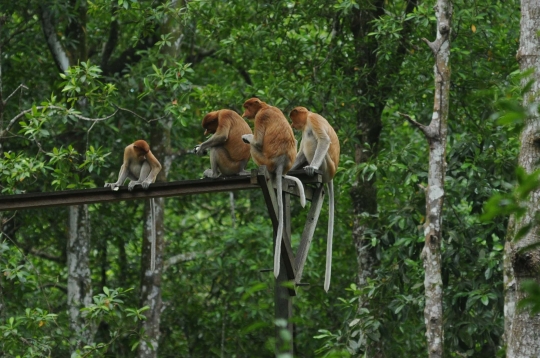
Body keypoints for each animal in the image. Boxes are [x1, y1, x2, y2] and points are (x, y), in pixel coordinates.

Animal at [242, 98, 306, 280]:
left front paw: (246, 136)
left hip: (264, 160)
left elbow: (257, 142)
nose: (244, 114)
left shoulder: (260, 117)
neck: (265, 106)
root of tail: (280, 165)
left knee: (254, 147)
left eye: (248, 106)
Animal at [288, 106, 340, 290]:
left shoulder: (312, 121)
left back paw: (311, 169)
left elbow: (323, 140)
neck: (309, 115)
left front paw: (311, 167)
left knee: (311, 140)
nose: (292, 124)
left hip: (326, 165)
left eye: (293, 118)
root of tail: (332, 174)